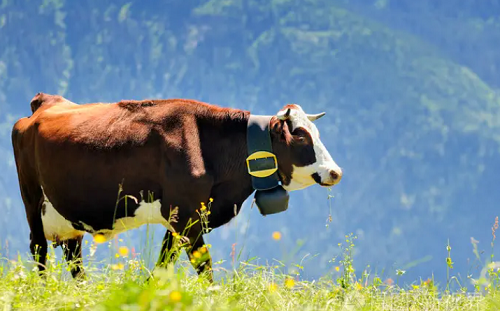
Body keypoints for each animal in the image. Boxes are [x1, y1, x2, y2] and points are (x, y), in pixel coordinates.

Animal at [11, 92, 342, 280]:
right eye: (300, 135)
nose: (335, 172)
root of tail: (45, 103)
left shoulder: (182, 218)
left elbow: (162, 266)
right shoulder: (186, 216)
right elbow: (204, 268)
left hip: (69, 219)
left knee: (74, 259)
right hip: (32, 202)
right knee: (39, 251)